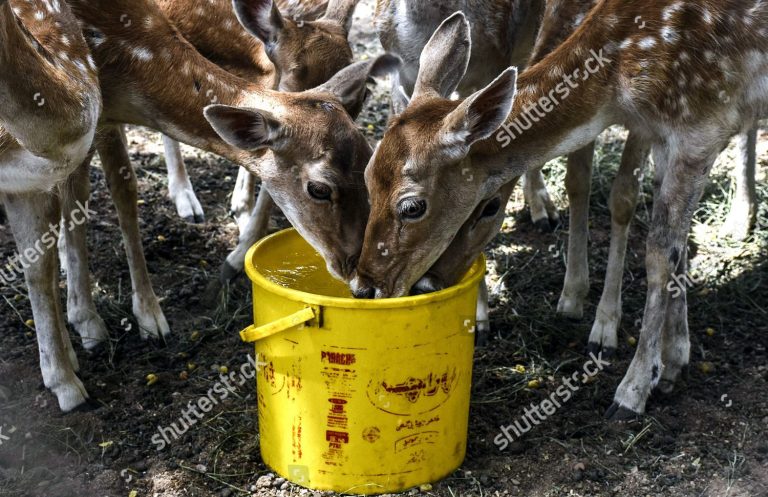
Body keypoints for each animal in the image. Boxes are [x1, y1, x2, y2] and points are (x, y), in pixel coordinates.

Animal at [356, 0, 768, 418]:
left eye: (413, 206)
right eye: (367, 177)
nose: (365, 286)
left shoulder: (699, 127)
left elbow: (657, 253)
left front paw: (634, 388)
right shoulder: (666, 136)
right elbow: (676, 245)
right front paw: (675, 360)